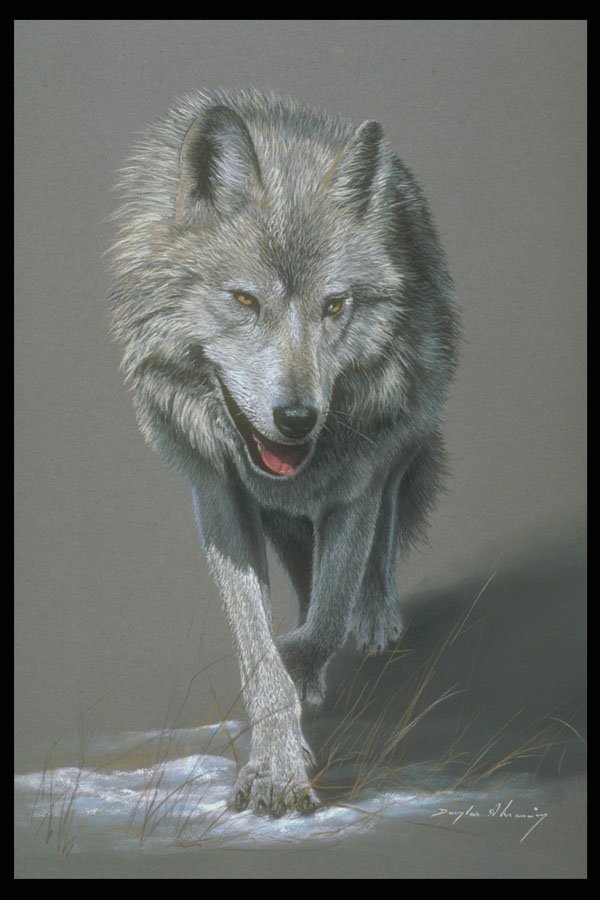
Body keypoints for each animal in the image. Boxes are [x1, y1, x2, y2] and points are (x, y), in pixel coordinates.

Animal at [110, 89, 459, 817]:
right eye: (245, 299)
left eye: (334, 306)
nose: (296, 418)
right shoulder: (218, 498)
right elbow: (259, 647)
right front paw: (276, 759)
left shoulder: (355, 488)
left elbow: (320, 624)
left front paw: (297, 688)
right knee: (303, 569)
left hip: (399, 444)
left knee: (380, 536)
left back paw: (375, 620)